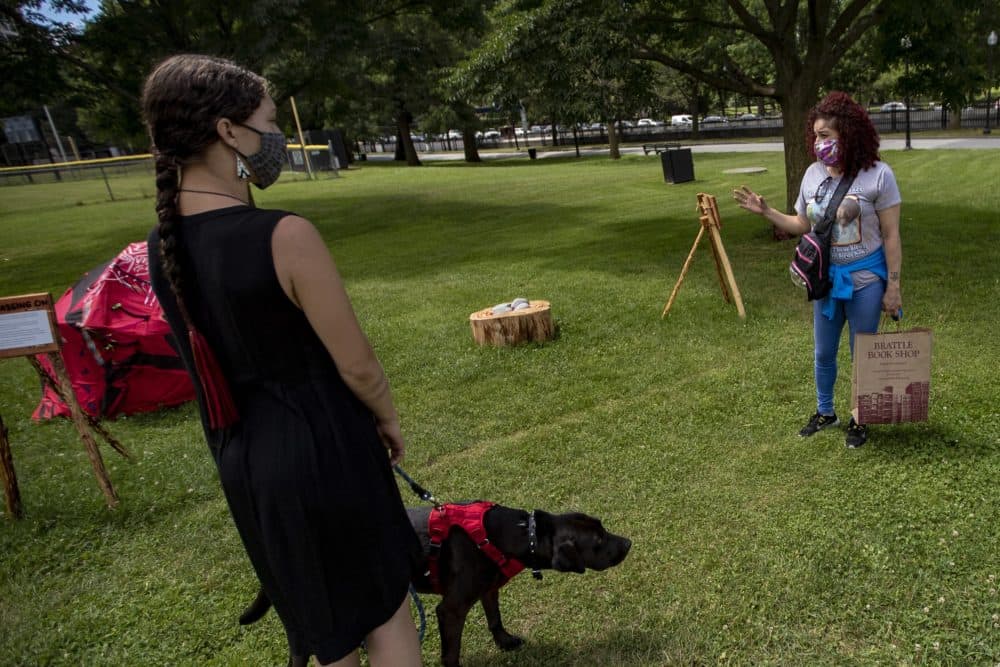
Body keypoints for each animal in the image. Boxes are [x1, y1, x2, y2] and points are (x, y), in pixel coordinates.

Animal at [241, 504, 628, 664]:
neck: (522, 533)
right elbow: (451, 651)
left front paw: (505, 642)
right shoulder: (451, 609)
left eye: (603, 526)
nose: (628, 543)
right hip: (301, 628)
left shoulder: (488, 588)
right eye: (598, 541)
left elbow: (494, 619)